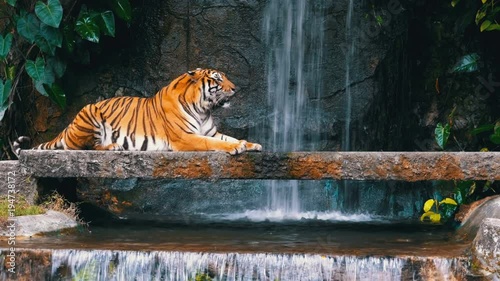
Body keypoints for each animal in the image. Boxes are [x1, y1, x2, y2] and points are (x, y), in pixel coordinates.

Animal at [12, 68, 262, 155]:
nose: (236, 88)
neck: (203, 109)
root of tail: (67, 128)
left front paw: (251, 143)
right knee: (80, 147)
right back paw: (112, 146)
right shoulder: (185, 137)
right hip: (90, 113)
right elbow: (215, 143)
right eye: (219, 79)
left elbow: (228, 137)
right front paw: (236, 148)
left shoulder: (210, 131)